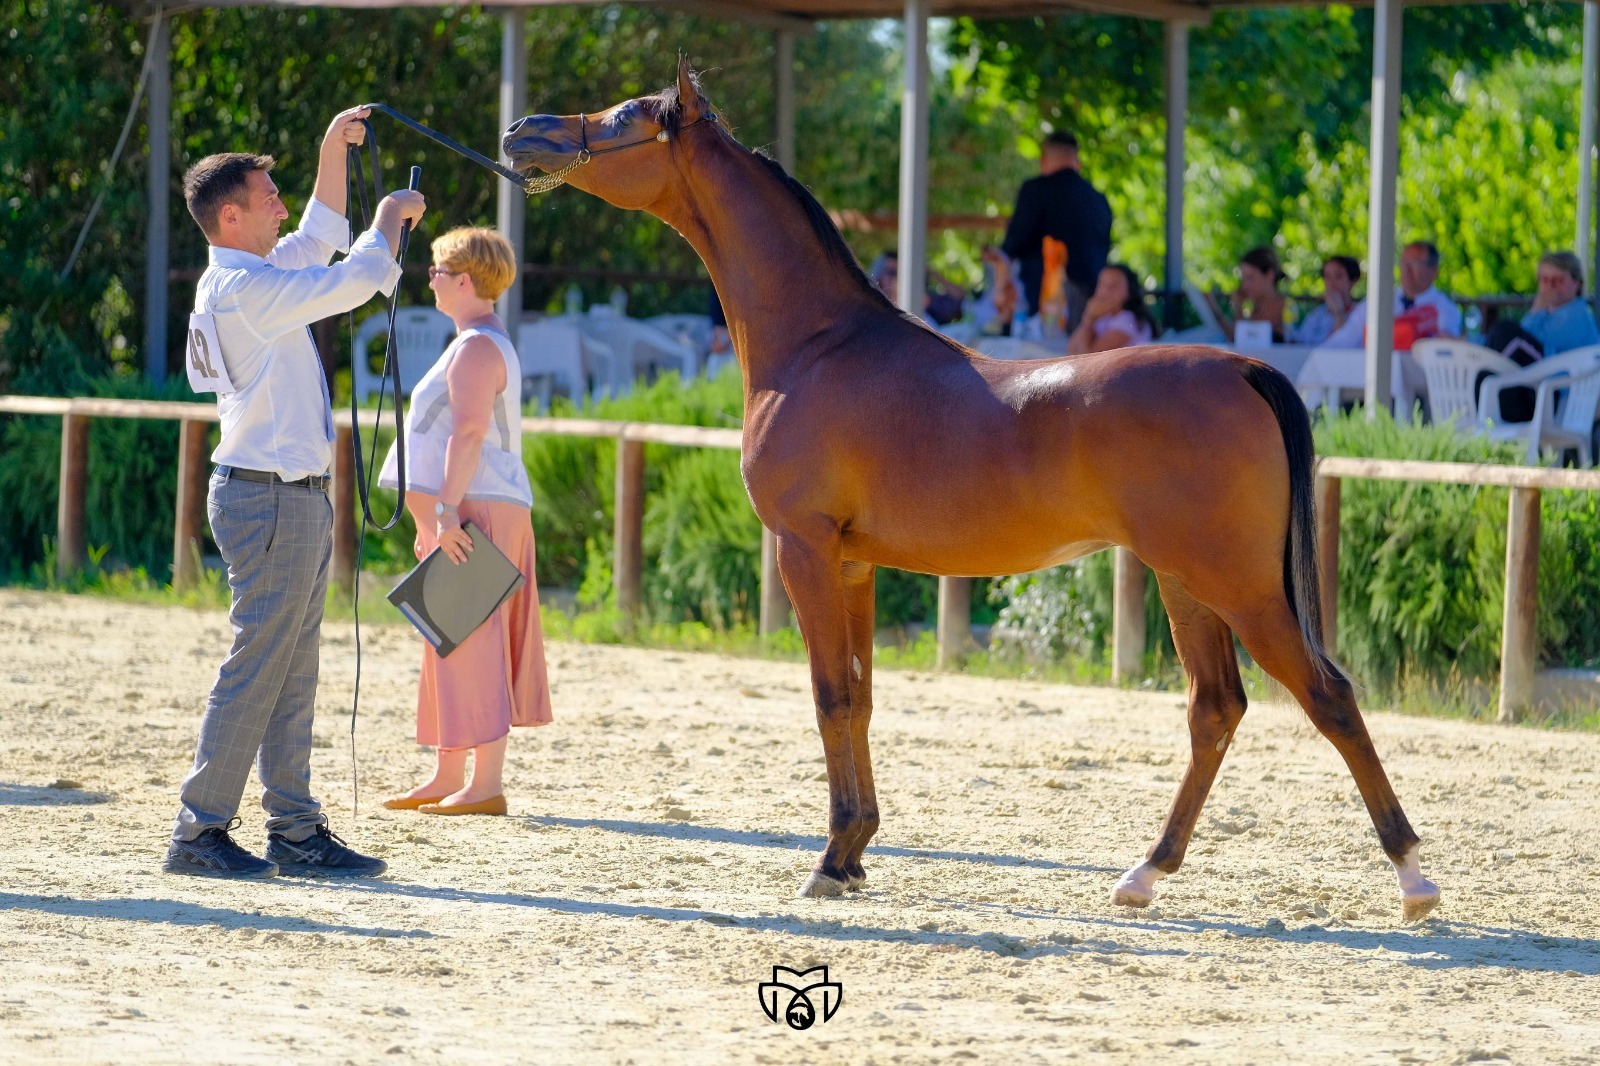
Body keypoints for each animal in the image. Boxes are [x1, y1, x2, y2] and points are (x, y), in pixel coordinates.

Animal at [503, 58, 1441, 922]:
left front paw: (828, 860)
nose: (522, 131)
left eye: (624, 117)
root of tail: (1243, 367)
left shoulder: (804, 550)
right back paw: (1145, 873)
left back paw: (1412, 878)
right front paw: (855, 851)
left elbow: (829, 695)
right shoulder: (853, 565)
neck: (820, 344)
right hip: (1185, 581)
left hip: (1239, 584)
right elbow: (862, 697)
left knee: (1328, 696)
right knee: (1215, 709)